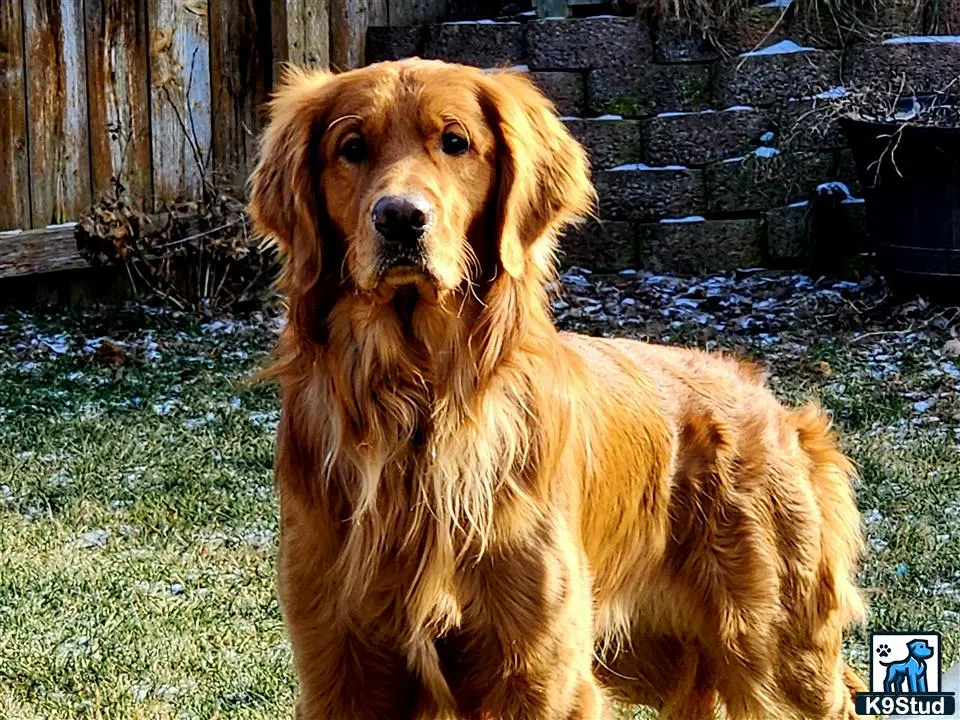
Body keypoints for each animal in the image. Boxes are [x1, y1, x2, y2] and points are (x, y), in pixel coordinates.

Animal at [251, 57, 868, 720]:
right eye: (352, 148)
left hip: (776, 651)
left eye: (455, 142)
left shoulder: (539, 670)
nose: (399, 218)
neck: (419, 402)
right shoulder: (341, 667)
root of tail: (774, 405)